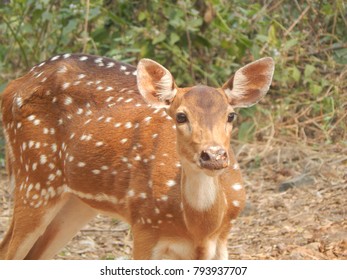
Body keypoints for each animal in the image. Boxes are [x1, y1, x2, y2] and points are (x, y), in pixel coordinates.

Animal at [0, 53, 274, 260]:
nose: (214, 155)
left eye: (231, 115)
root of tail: (11, 88)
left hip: (75, 201)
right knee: (9, 251)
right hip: (35, 178)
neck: (199, 227)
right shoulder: (144, 224)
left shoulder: (222, 241)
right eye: (181, 116)